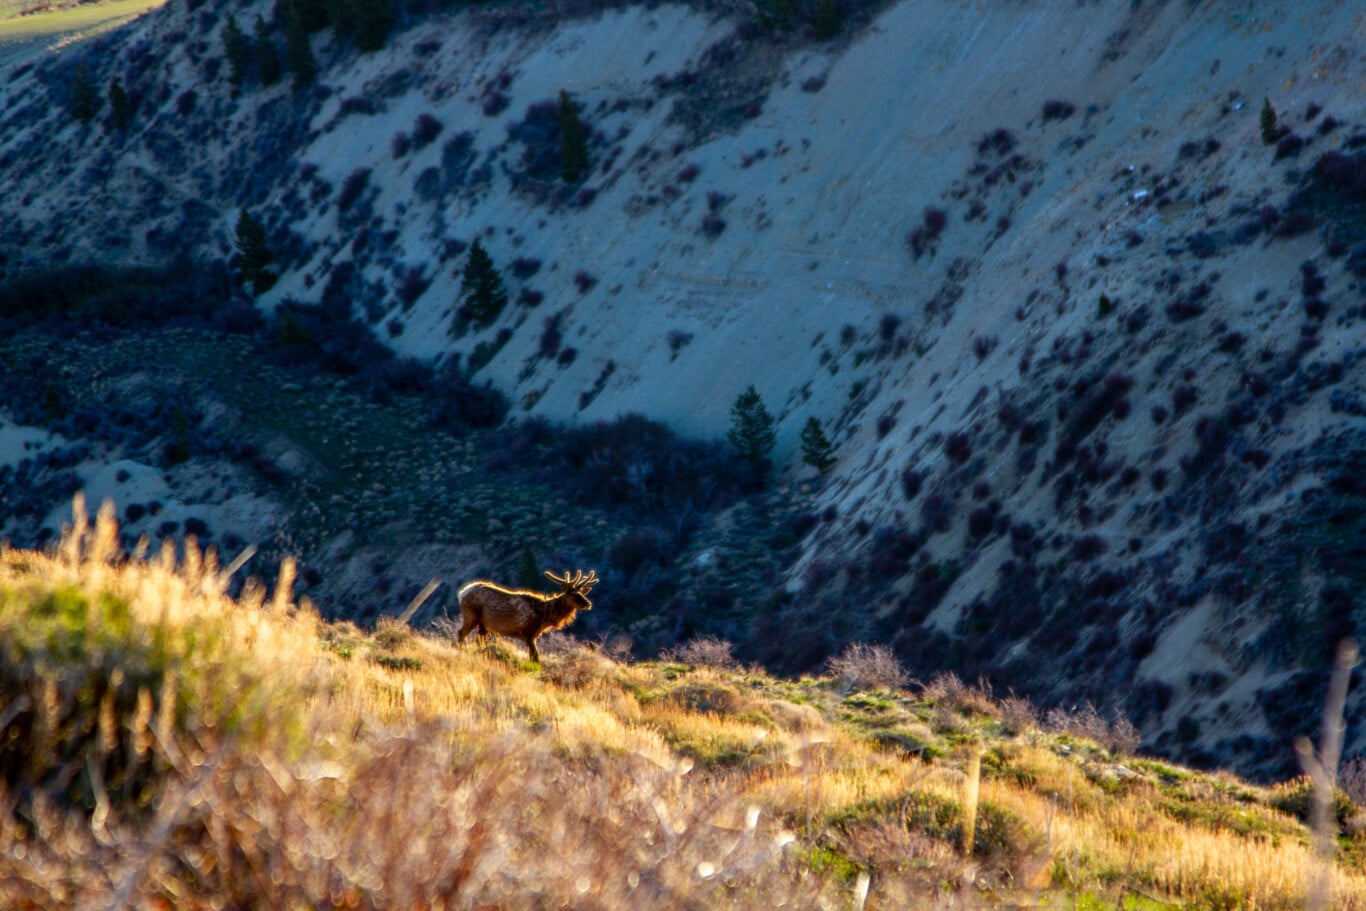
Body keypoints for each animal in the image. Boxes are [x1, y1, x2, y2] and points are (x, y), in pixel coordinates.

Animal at [456, 570, 595, 663]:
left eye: (582, 594)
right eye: (574, 595)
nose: (588, 604)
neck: (544, 616)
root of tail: (461, 593)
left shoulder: (532, 635)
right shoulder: (528, 633)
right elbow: (535, 657)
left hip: (483, 625)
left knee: (478, 640)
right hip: (470, 616)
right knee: (461, 633)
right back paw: (460, 652)